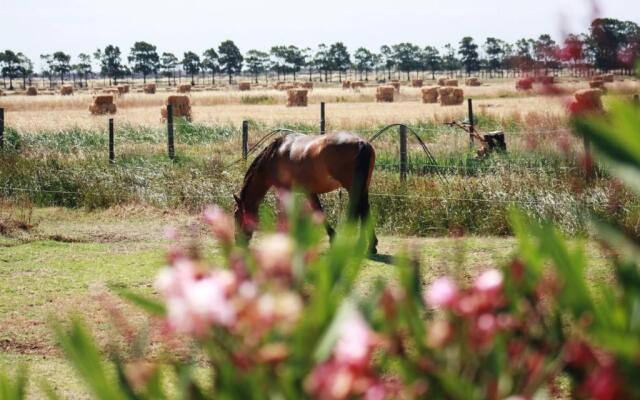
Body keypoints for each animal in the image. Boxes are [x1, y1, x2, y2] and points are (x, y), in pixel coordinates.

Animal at [234, 132, 376, 253]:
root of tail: (362, 143)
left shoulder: (284, 190)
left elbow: (284, 213)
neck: (274, 155)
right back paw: (369, 245)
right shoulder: (308, 191)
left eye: (236, 215)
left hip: (353, 187)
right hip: (364, 187)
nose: (237, 241)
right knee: (365, 210)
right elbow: (317, 210)